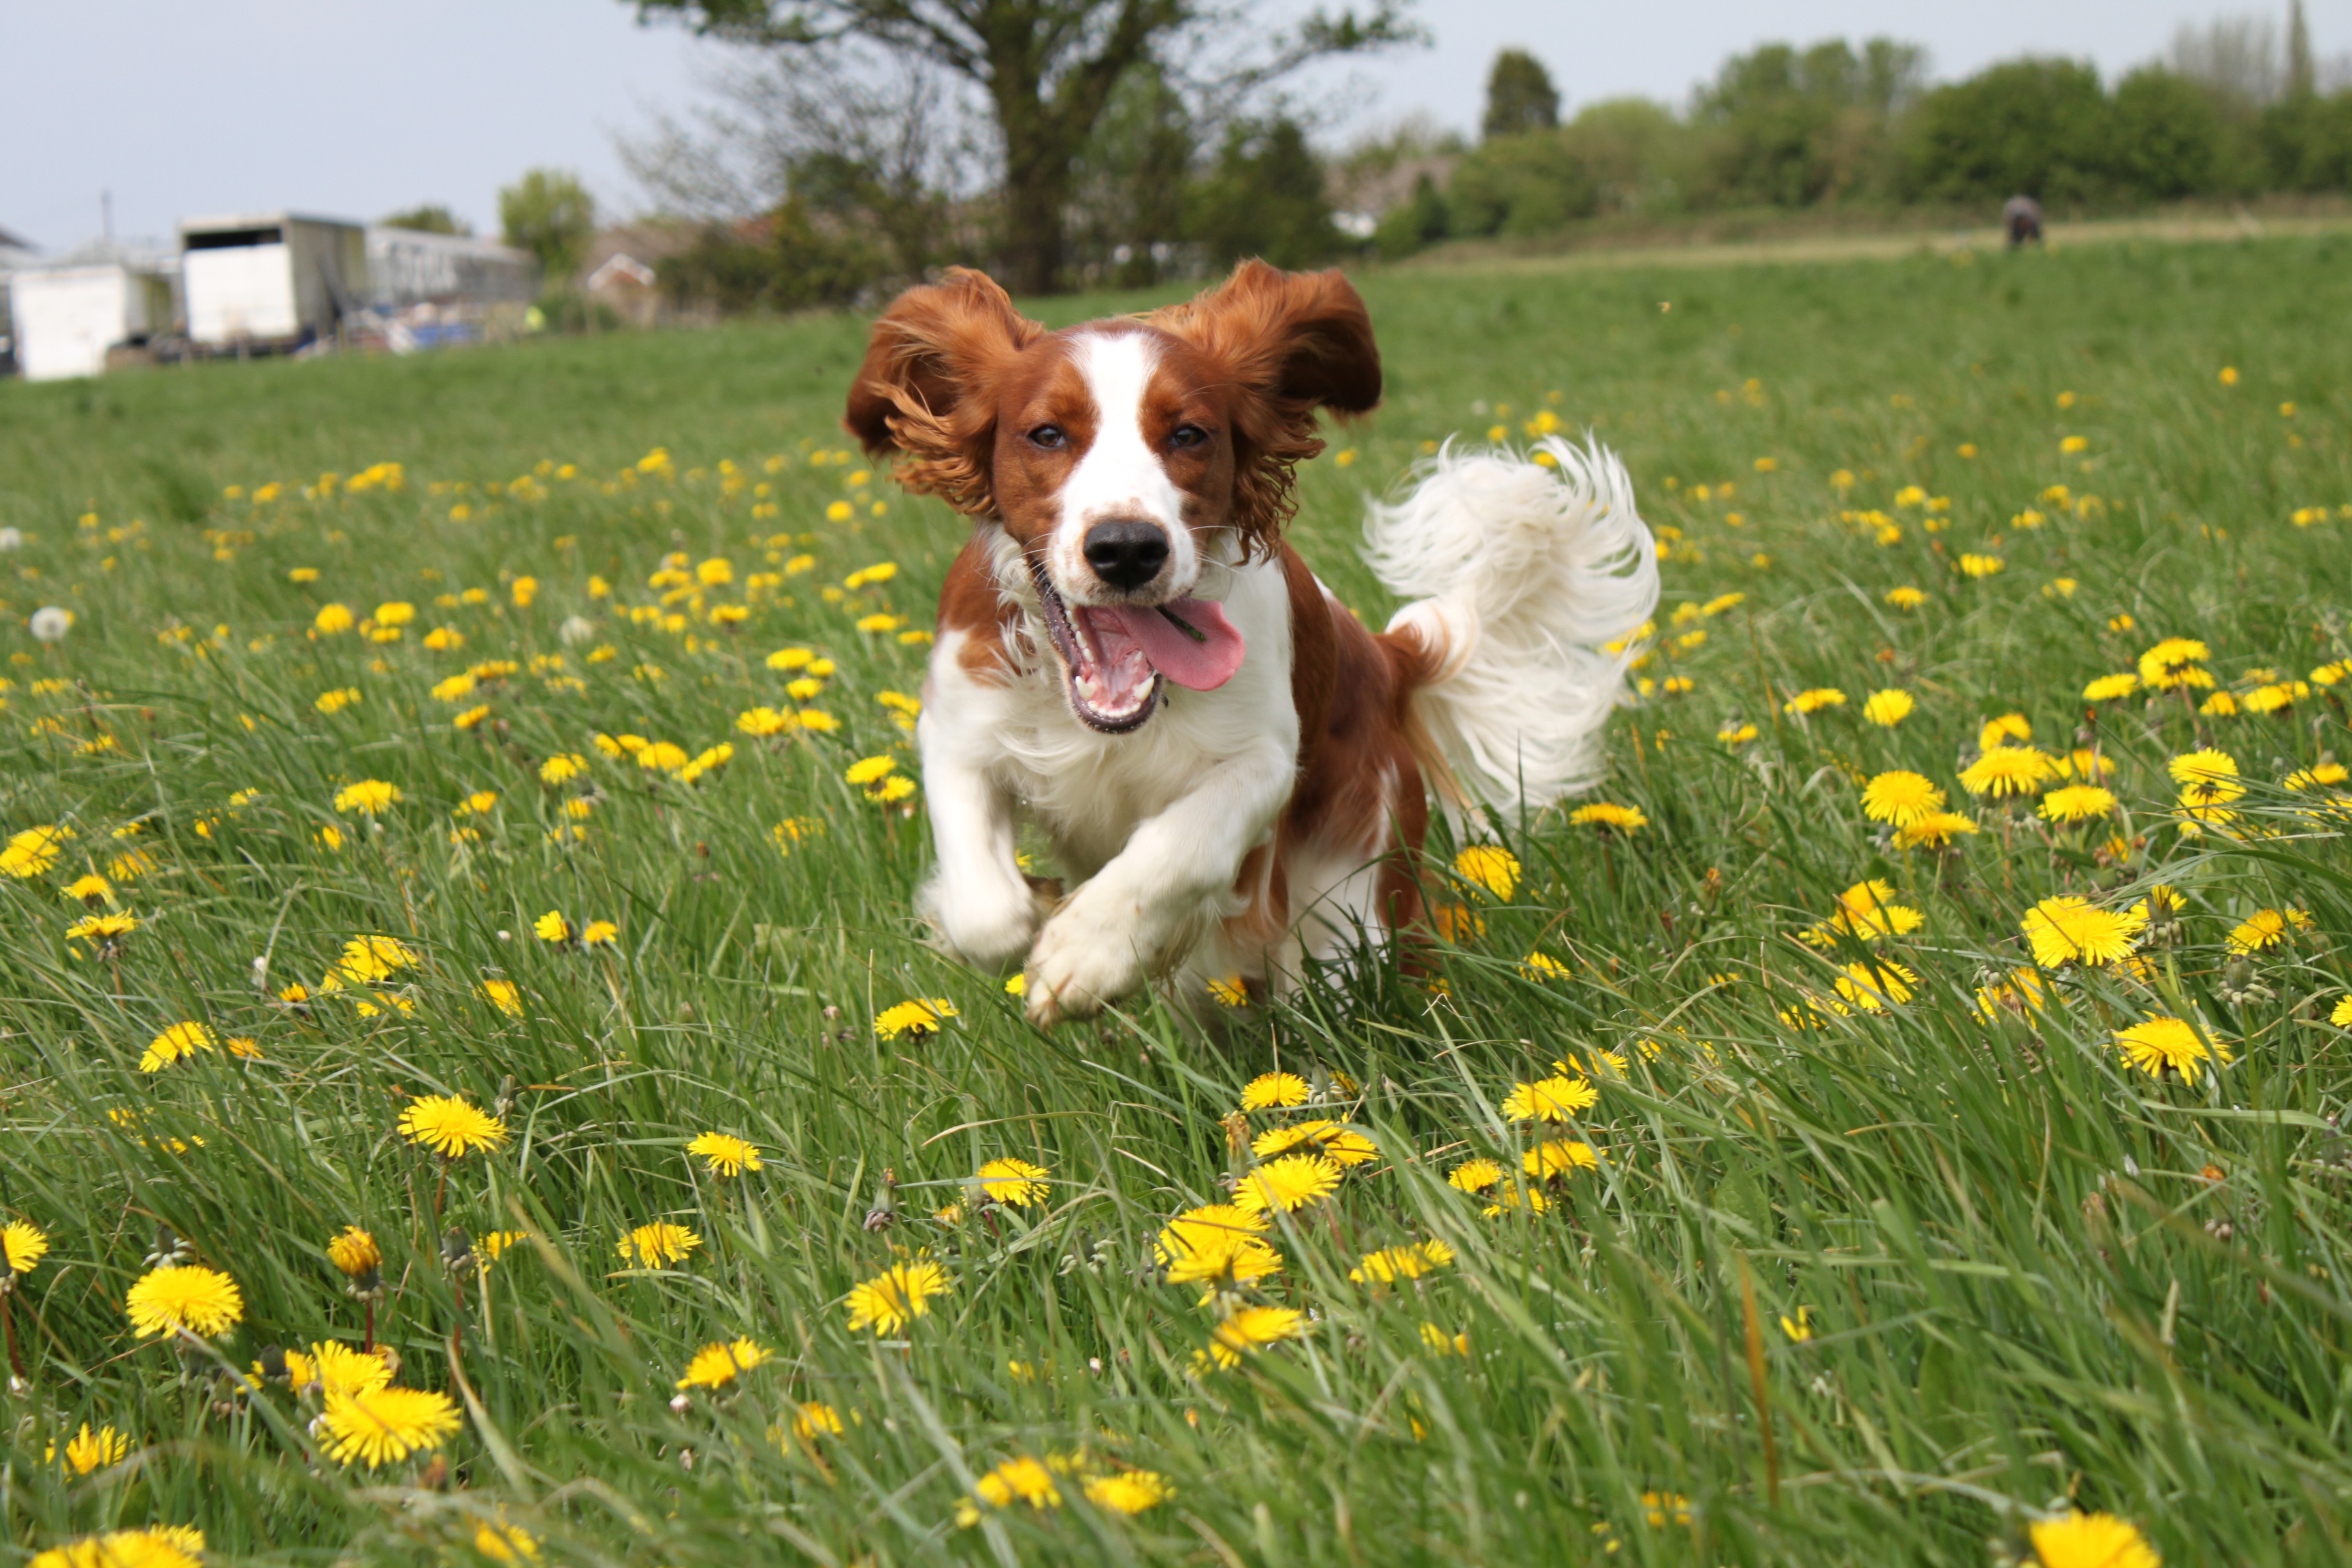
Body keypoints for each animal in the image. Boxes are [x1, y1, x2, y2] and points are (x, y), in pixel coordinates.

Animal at [847, 261, 1656, 1020]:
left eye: (1188, 434)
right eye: (1047, 434)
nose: (1127, 549)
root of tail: (1385, 657)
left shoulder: (1265, 759)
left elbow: (1180, 846)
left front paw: (1087, 954)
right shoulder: (960, 725)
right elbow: (985, 911)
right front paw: (1034, 911)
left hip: (1354, 900)